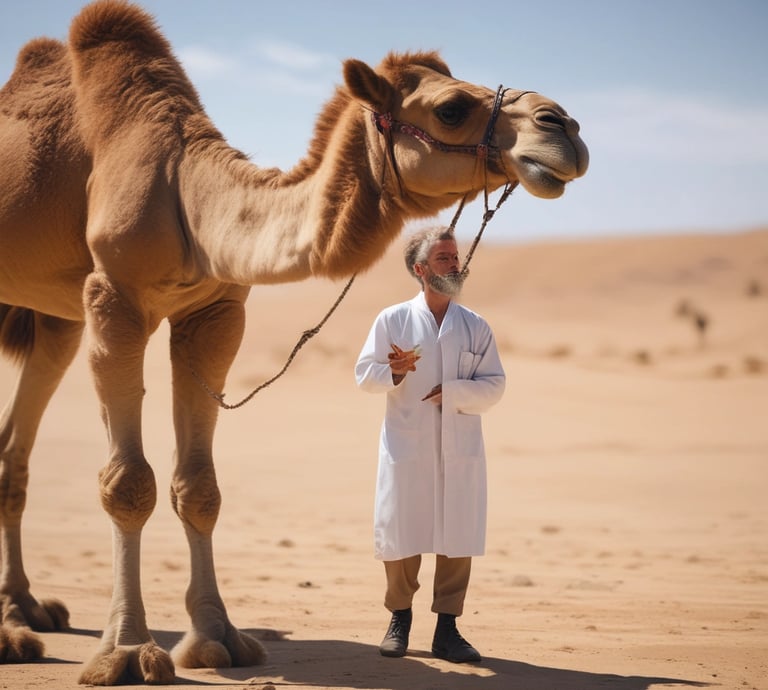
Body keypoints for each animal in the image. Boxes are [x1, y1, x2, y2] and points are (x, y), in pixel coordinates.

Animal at [0, 0, 588, 684]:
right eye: (449, 108)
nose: (565, 126)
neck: (183, 193)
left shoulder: (215, 313)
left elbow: (199, 488)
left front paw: (217, 640)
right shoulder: (112, 299)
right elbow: (129, 484)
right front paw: (125, 652)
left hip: (57, 318)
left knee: (15, 449)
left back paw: (26, 611)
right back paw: (14, 633)